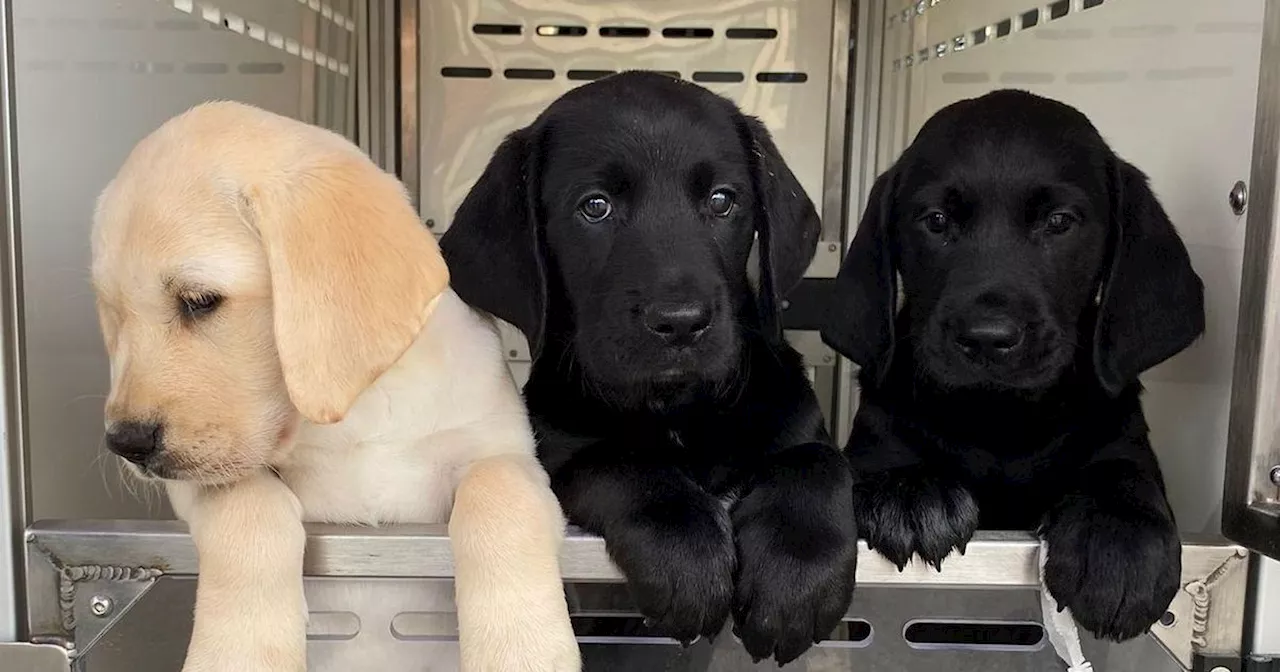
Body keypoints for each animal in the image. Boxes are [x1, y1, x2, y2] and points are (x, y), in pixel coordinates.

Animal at [85, 101, 576, 670]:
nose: (126, 442)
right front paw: (238, 652)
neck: (355, 412)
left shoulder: (506, 454)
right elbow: (247, 505)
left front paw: (523, 649)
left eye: (200, 301)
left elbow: (499, 495)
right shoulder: (196, 486)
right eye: (113, 315)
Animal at [435, 70, 855, 660]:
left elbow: (817, 463)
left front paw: (796, 575)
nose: (680, 322)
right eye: (595, 206)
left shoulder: (799, 425)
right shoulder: (560, 451)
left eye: (722, 201)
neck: (677, 410)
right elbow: (623, 464)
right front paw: (688, 554)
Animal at [819, 87, 1198, 640]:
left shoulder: (1124, 438)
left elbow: (1124, 474)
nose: (987, 339)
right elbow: (879, 461)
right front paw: (908, 491)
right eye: (936, 220)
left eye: (1059, 222)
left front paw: (1120, 542)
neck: (1001, 422)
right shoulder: (872, 439)